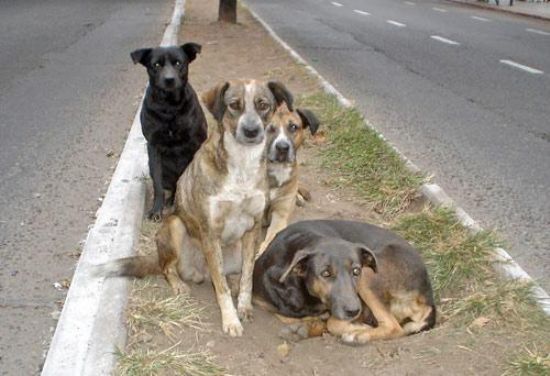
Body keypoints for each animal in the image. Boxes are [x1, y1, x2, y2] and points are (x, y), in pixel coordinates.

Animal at [99, 80, 298, 338]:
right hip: (175, 226)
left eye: (263, 105)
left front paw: (243, 306)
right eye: (234, 105)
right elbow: (221, 288)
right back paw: (179, 284)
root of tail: (198, 271)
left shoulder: (253, 229)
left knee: (231, 274)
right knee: (167, 268)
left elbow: (247, 277)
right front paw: (230, 320)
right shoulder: (210, 232)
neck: (242, 165)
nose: (252, 131)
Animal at [132, 43, 209, 220]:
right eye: (156, 65)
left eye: (178, 63)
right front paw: (156, 210)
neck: (169, 107)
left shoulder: (195, 142)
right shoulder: (153, 146)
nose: (169, 79)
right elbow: (157, 184)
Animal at [252, 219, 438, 346]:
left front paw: (359, 329)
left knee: (394, 327)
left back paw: (358, 335)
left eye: (356, 271)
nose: (354, 311)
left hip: (369, 276)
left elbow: (332, 322)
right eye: (325, 273)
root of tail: (428, 297)